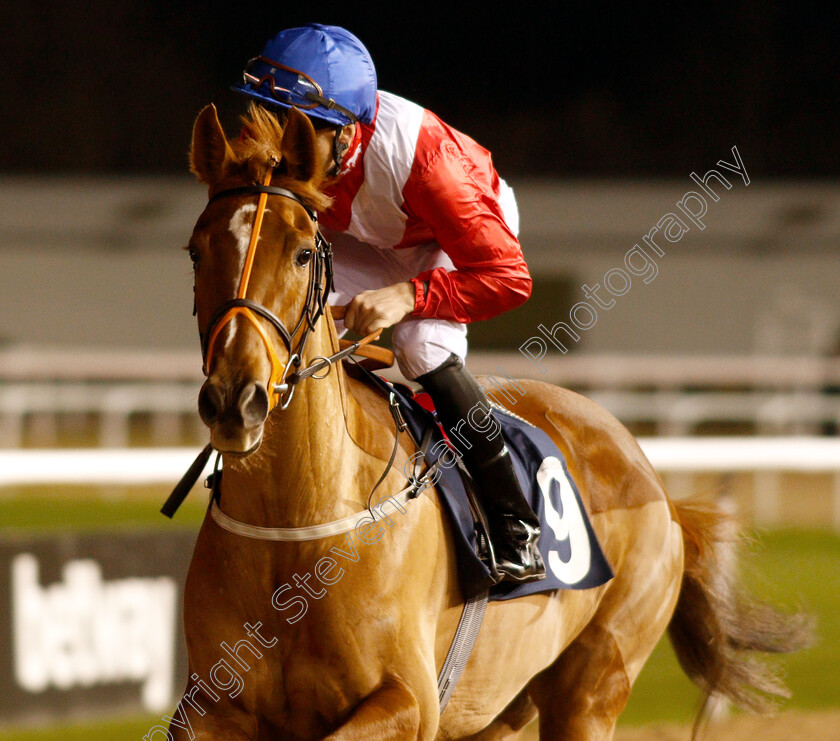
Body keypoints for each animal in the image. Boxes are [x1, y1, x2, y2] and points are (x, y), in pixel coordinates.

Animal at [169, 101, 808, 736]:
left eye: (303, 252)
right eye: (197, 250)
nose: (235, 399)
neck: (298, 524)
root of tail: (658, 487)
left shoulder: (408, 701)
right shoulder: (209, 705)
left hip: (594, 684)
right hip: (503, 705)